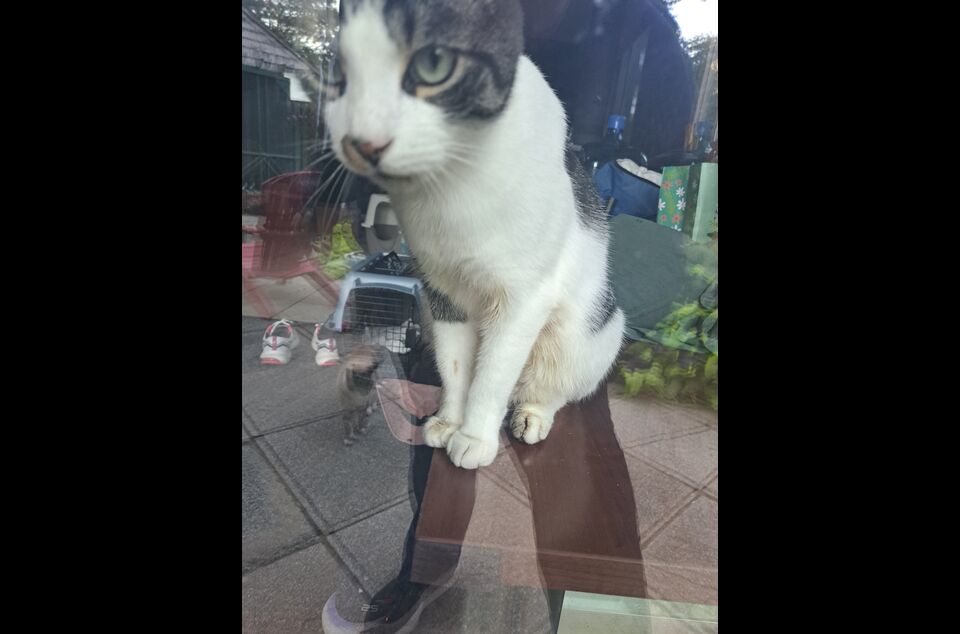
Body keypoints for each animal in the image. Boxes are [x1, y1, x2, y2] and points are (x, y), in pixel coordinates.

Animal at [323, 0, 626, 469]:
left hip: (591, 329)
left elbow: (491, 376)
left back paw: (530, 416)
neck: (449, 188)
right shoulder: (443, 293)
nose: (364, 140)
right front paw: (451, 421)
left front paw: (474, 436)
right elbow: (456, 367)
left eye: (433, 65)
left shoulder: (524, 300)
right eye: (344, 80)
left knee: (548, 389)